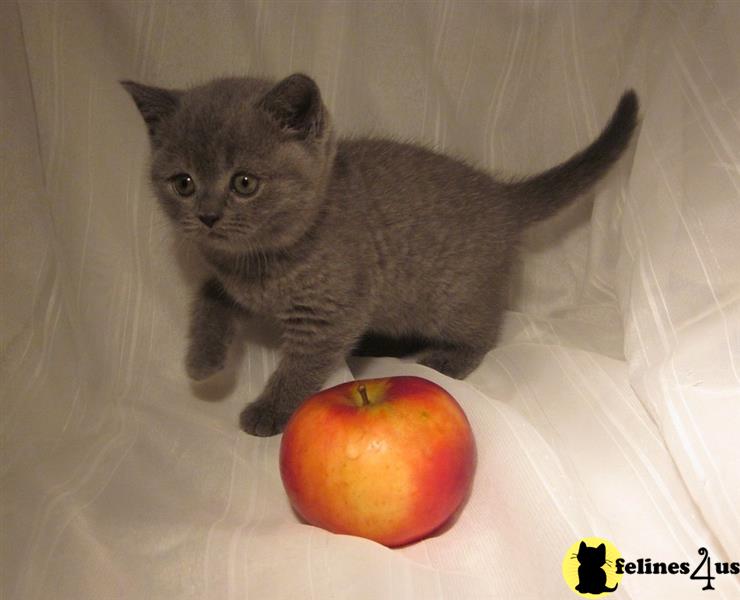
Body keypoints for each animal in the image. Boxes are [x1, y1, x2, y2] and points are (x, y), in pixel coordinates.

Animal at [121, 75, 636, 436]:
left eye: (244, 182)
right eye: (183, 183)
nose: (207, 216)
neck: (260, 262)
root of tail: (502, 197)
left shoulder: (328, 314)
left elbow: (299, 366)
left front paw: (269, 410)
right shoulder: (231, 280)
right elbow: (207, 295)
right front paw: (203, 361)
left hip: (452, 298)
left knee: (484, 330)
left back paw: (447, 359)